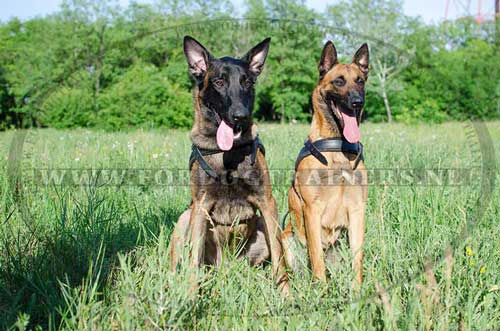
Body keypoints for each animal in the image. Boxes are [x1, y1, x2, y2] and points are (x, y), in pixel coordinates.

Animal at [284, 40, 370, 286]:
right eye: (339, 81)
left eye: (360, 81)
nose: (357, 102)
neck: (337, 147)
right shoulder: (312, 210)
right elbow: (317, 259)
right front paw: (320, 291)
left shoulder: (357, 210)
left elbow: (357, 259)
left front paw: (357, 291)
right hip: (286, 238)